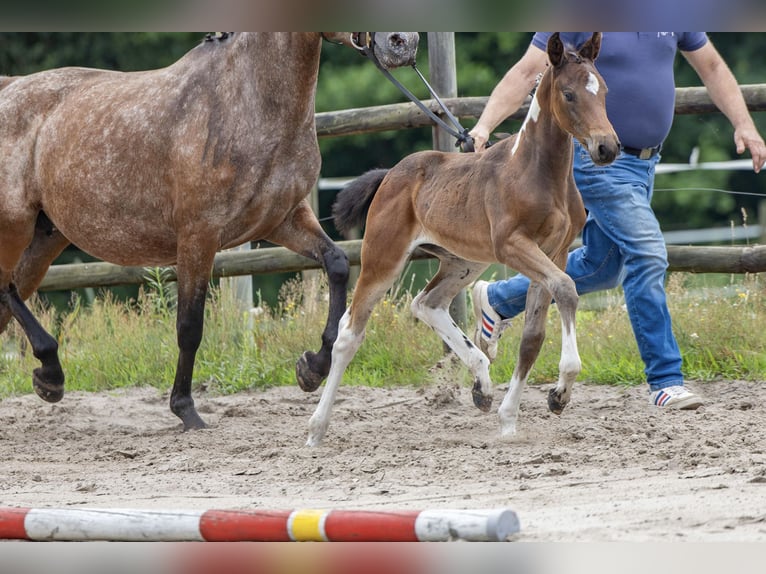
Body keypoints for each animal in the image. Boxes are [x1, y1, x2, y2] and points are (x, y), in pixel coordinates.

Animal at [0, 32, 420, 431]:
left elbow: (336, 264)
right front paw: (186, 410)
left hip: (45, 238)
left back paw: (48, 378)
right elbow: (189, 326)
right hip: (15, 227)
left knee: (9, 295)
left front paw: (311, 368)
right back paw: (51, 374)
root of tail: (9, 88)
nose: (403, 43)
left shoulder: (282, 219)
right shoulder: (198, 236)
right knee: (6, 290)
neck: (247, 101)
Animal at [306, 32, 620, 447]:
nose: (607, 147)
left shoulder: (555, 252)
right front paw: (560, 389)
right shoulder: (514, 246)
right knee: (350, 333)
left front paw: (514, 417)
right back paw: (316, 429)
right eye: (568, 94)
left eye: (604, 90)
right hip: (383, 257)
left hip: (464, 260)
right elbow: (567, 289)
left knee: (427, 303)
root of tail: (390, 174)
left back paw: (482, 386)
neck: (537, 173)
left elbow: (533, 336)